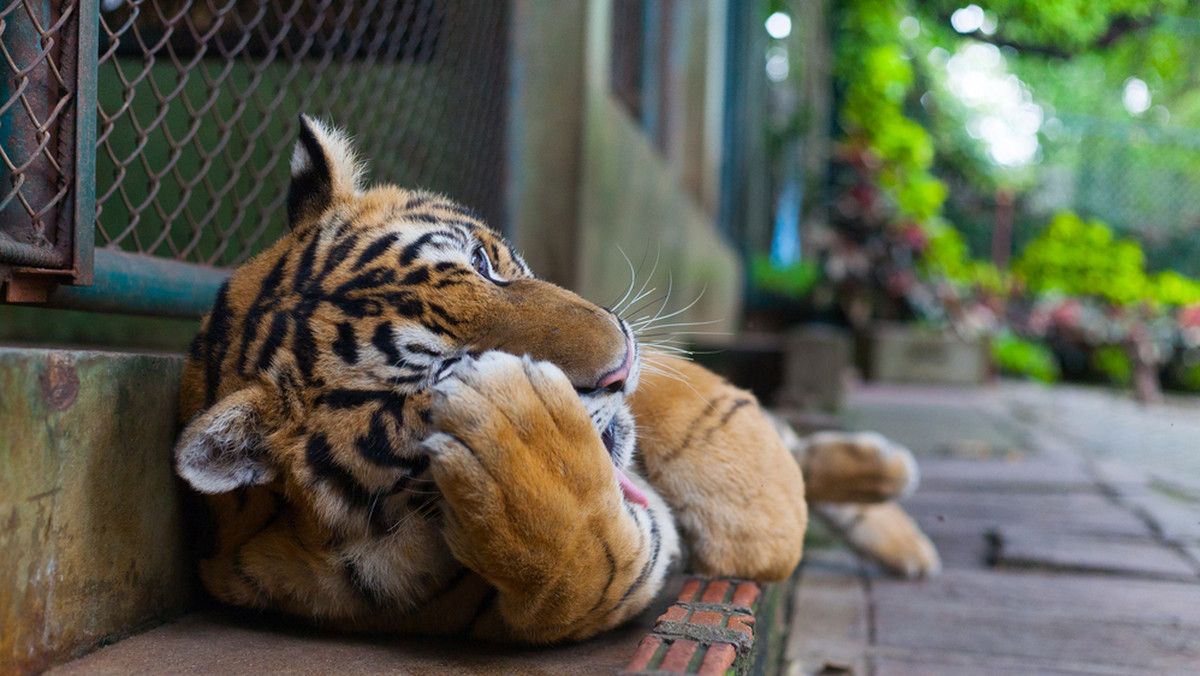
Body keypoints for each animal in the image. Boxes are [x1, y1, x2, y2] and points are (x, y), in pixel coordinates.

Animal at [174, 116, 936, 643]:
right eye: (444, 367)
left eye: (484, 262)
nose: (620, 364)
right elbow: (577, 562)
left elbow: (724, 444)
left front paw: (759, 506)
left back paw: (896, 503)